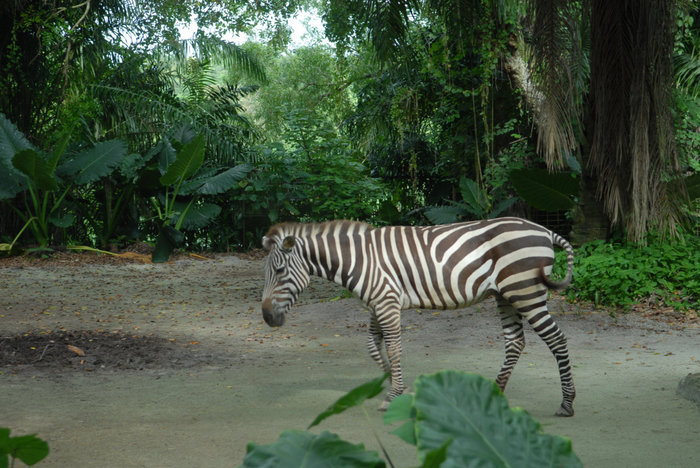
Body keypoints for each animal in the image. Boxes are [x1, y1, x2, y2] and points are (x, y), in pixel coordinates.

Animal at [260, 217, 576, 416]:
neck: (360, 260)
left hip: (525, 291)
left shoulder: (386, 302)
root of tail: (544, 230)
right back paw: (496, 393)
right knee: (515, 342)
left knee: (557, 339)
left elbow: (394, 348)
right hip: (506, 295)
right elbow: (373, 347)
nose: (266, 317)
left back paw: (567, 403)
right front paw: (401, 388)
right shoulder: (378, 303)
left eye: (279, 271)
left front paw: (393, 395)